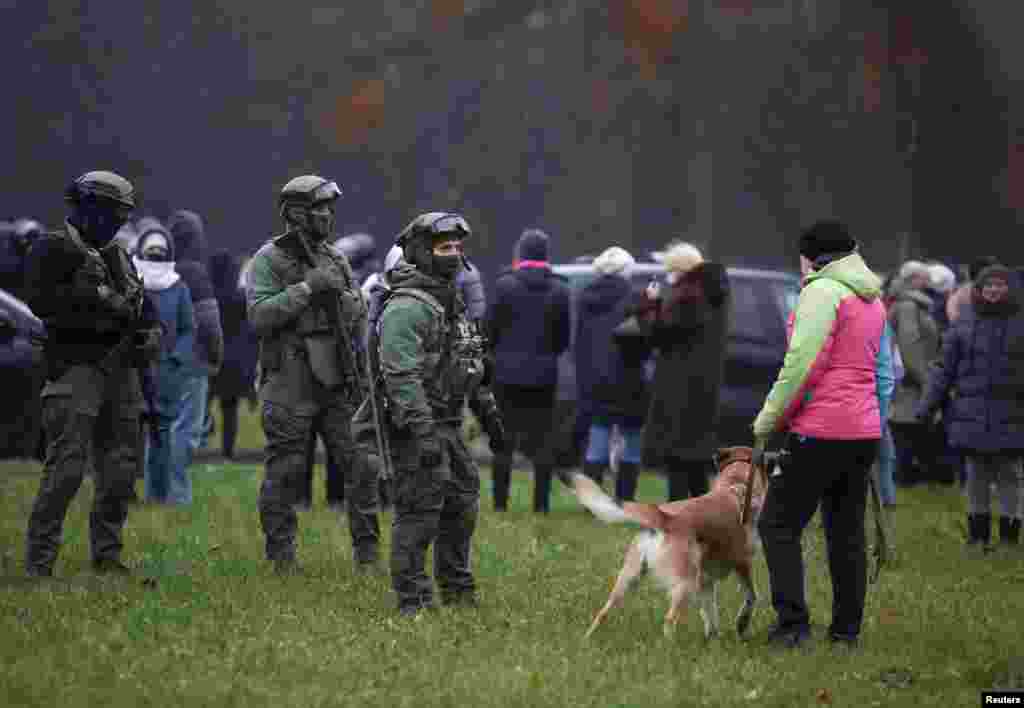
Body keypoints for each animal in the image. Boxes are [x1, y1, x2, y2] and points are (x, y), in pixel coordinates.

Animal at [569, 448, 770, 643]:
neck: (735, 486)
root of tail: (665, 519)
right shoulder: (742, 563)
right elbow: (751, 597)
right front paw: (741, 624)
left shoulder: (706, 581)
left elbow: (710, 614)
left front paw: (713, 640)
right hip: (685, 583)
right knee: (669, 619)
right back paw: (671, 648)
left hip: (628, 578)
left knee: (603, 612)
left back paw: (586, 640)